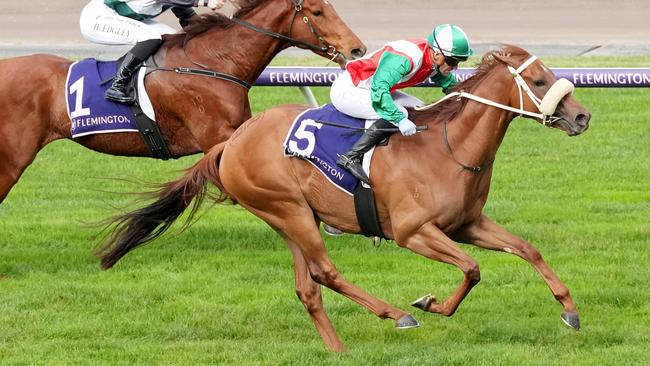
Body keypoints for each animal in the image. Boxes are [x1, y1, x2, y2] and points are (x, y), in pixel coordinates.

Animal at [95, 45, 588, 352]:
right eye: (539, 80)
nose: (582, 116)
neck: (450, 147)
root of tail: (230, 142)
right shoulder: (413, 232)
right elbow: (472, 269)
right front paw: (430, 304)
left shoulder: (467, 224)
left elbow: (527, 249)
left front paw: (569, 310)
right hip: (290, 210)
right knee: (326, 272)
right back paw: (396, 314)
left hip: (289, 217)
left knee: (307, 287)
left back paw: (337, 348)